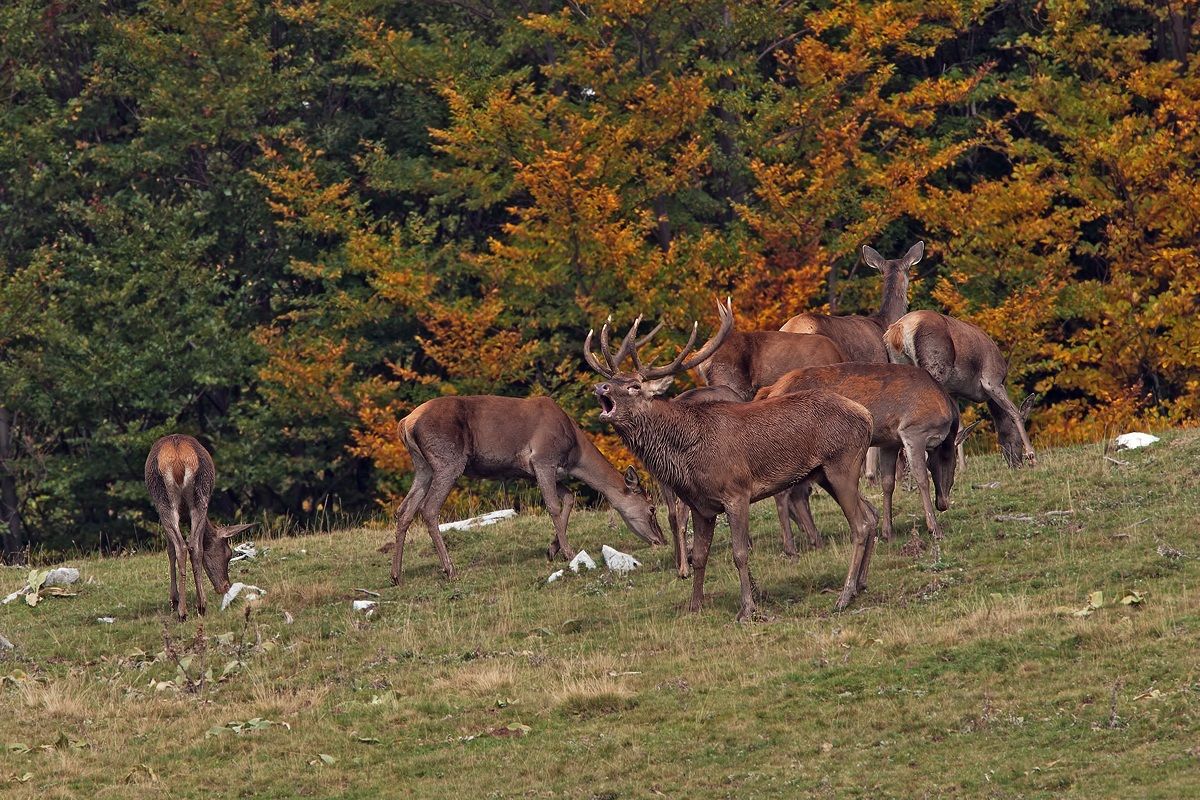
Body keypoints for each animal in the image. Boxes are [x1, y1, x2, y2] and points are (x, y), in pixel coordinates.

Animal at [145, 435, 254, 621]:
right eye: (228, 553)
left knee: (183, 546)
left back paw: (185, 610)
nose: (225, 586)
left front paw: (173, 600)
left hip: (166, 500)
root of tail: (179, 459)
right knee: (192, 546)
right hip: (197, 497)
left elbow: (170, 549)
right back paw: (198, 606)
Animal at [385, 395, 664, 585]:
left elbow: (569, 498)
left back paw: (396, 575)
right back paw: (449, 569)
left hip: (423, 466)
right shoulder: (543, 459)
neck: (575, 453)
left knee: (404, 510)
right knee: (428, 509)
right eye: (652, 507)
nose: (660, 539)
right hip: (448, 460)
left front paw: (552, 549)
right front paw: (569, 553)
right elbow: (553, 505)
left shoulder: (540, 471)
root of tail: (405, 423)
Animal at [585, 299, 878, 620]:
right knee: (871, 514)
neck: (687, 456)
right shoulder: (701, 506)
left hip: (842, 464)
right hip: (825, 474)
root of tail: (866, 415)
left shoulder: (737, 491)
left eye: (634, 386)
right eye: (611, 380)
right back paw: (860, 585)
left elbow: (740, 553)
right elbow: (701, 556)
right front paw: (695, 606)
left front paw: (747, 609)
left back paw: (844, 596)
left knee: (860, 525)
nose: (600, 388)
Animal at [757, 364, 981, 560]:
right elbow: (921, 479)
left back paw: (814, 541)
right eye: (951, 462)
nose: (942, 503)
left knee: (797, 492)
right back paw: (791, 548)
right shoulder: (913, 430)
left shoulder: (889, 442)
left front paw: (888, 532)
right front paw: (935, 529)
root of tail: (771, 390)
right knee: (785, 492)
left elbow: (888, 483)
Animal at [884, 310, 1037, 467]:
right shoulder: (992, 380)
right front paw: (1032, 456)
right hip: (935, 367)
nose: (1017, 464)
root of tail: (898, 330)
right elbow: (1014, 412)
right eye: (1018, 440)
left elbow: (960, 426)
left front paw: (962, 466)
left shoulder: (953, 391)